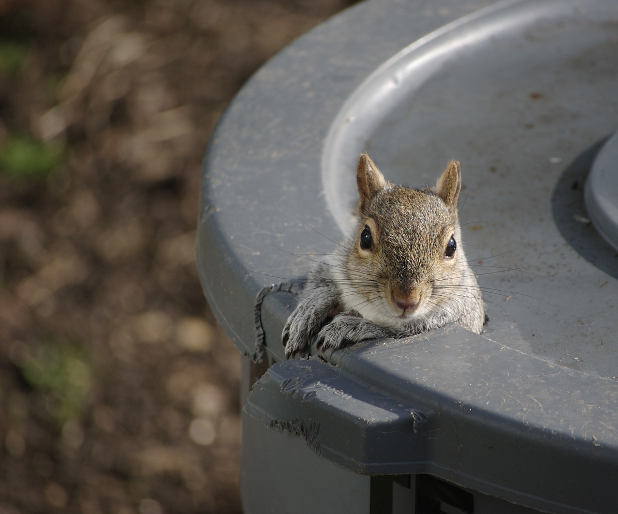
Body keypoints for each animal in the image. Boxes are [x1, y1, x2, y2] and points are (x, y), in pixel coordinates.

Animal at [282, 152, 484, 356]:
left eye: (452, 246)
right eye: (365, 237)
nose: (406, 300)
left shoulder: (463, 312)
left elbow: (400, 330)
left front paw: (352, 326)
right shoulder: (337, 260)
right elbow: (320, 277)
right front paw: (310, 309)